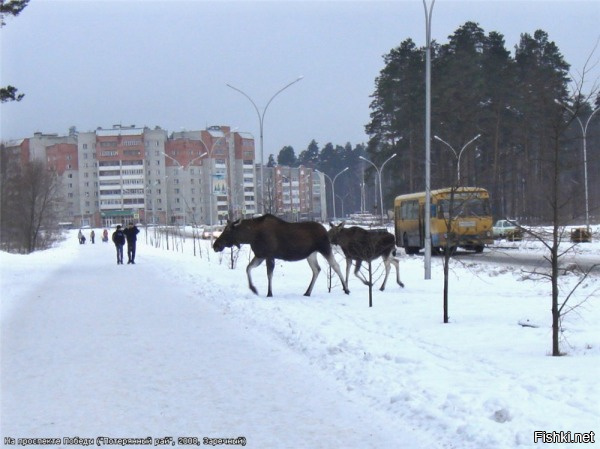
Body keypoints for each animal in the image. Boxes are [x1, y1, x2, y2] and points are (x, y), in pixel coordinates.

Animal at [213, 214, 350, 298]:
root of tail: (326, 231)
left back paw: (346, 289)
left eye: (227, 230)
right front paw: (253, 288)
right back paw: (307, 292)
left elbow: (269, 274)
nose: (215, 245)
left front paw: (269, 293)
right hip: (311, 254)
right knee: (317, 269)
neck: (250, 237)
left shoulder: (269, 255)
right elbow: (248, 268)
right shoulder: (260, 255)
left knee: (335, 266)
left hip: (325, 248)